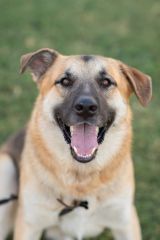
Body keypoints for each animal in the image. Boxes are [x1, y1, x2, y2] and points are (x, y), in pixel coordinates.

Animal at [0, 48, 152, 240]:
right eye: (65, 81)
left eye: (106, 82)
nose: (86, 107)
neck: (81, 176)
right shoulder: (29, 225)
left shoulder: (125, 221)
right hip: (5, 170)